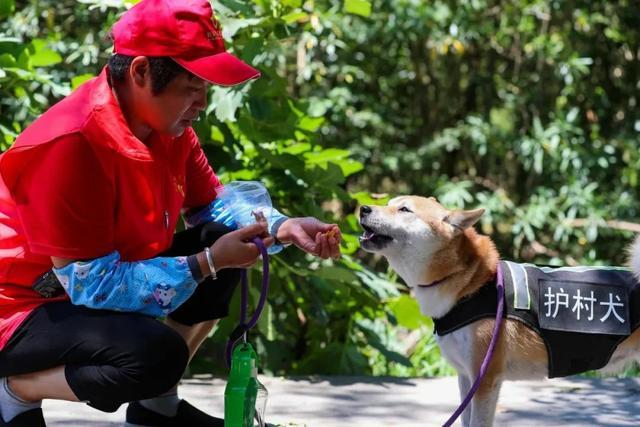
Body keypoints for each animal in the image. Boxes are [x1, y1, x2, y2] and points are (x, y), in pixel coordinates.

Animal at [360, 197, 640, 427]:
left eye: (404, 209)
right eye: (388, 202)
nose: (362, 208)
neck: (472, 283)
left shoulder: (485, 380)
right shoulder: (466, 377)